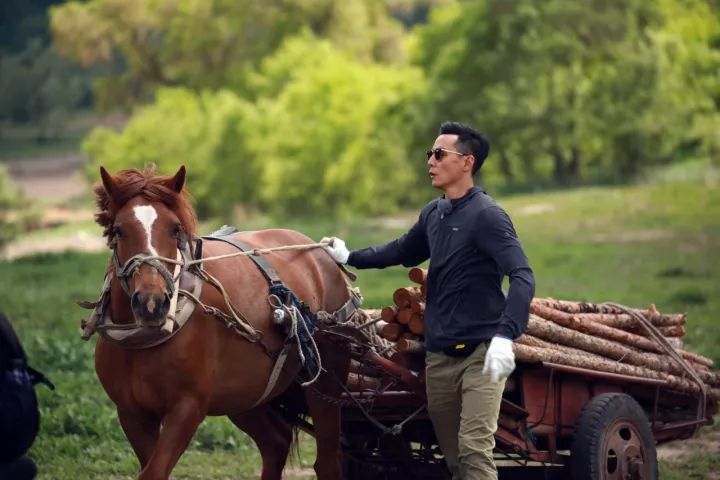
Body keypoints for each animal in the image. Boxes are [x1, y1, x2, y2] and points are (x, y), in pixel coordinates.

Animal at [91, 166, 356, 480]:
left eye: (175, 228)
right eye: (119, 230)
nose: (151, 303)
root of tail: (319, 252)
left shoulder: (186, 408)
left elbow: (154, 472)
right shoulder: (132, 413)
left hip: (325, 382)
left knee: (327, 461)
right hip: (244, 394)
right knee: (276, 443)